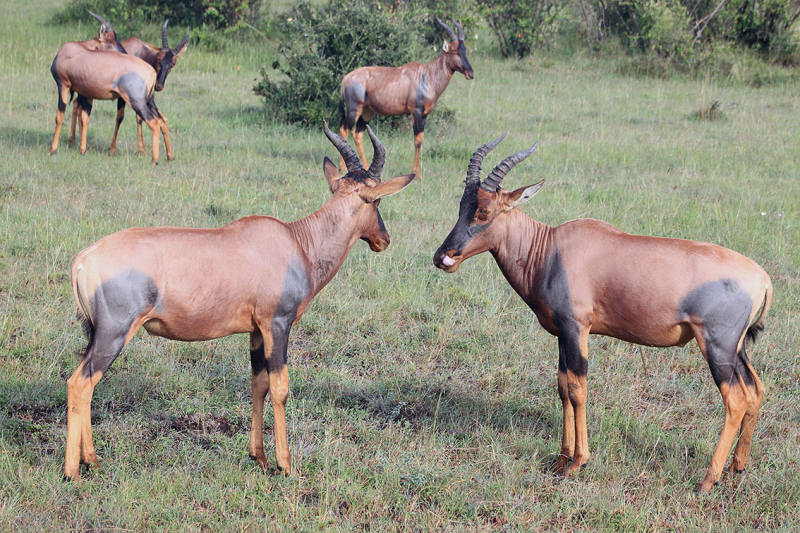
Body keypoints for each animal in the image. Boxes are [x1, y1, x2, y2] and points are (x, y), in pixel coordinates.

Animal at [63, 120, 416, 478]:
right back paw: (72, 472)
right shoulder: (278, 324)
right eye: (377, 202)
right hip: (115, 331)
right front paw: (285, 465)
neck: (297, 242)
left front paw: (258, 457)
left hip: (96, 333)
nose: (384, 240)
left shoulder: (256, 331)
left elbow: (258, 384)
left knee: (87, 381)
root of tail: (84, 259)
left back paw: (91, 459)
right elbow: (280, 387)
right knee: (79, 383)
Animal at [69, 21, 191, 158]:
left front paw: (142, 149)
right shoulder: (124, 96)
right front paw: (112, 148)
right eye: (159, 58)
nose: (159, 86)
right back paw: (74, 141)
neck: (140, 53)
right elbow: (120, 117)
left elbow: (141, 118)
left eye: (173, 63)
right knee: (77, 105)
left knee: (76, 104)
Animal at [340, 16, 476, 175]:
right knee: (344, 130)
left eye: (464, 49)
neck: (426, 75)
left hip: (368, 111)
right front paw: (417, 173)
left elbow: (421, 139)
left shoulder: (425, 114)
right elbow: (417, 141)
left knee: (357, 133)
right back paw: (342, 168)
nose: (471, 74)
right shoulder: (415, 111)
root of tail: (346, 79)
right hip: (354, 109)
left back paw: (366, 167)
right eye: (455, 50)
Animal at [434, 135, 772, 492]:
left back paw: (708, 480)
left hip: (717, 347)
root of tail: (761, 277)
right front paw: (560, 459)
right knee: (756, 390)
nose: (443, 257)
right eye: (461, 206)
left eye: (485, 211)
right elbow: (562, 386)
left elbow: (577, 389)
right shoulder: (562, 333)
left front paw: (577, 463)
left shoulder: (577, 328)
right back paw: (737, 467)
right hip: (737, 348)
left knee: (735, 400)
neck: (550, 248)